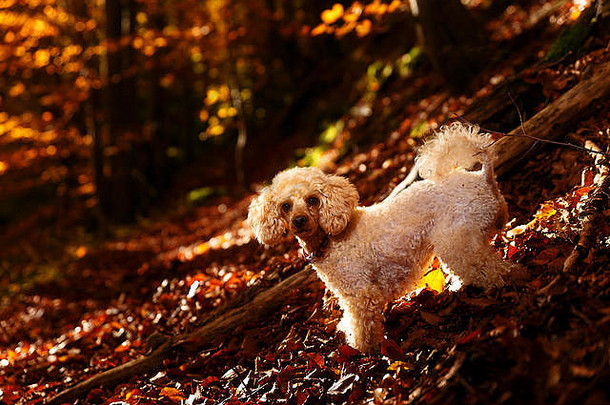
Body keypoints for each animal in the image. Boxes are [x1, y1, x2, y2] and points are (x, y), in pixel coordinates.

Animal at [247, 122, 508, 350]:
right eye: (285, 206)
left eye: (313, 200)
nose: (299, 221)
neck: (330, 240)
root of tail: (484, 177)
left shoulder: (361, 294)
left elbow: (363, 327)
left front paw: (361, 349)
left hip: (458, 242)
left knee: (499, 270)